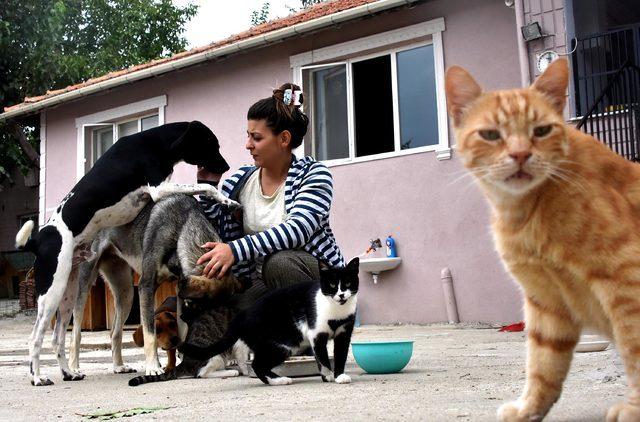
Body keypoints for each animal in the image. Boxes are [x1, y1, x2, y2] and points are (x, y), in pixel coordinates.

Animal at [65, 195, 242, 376]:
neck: (182, 226)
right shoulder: (146, 286)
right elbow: (150, 333)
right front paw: (153, 367)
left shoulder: (179, 292)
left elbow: (182, 329)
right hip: (84, 286)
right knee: (75, 333)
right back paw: (73, 368)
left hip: (126, 292)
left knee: (115, 332)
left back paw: (118, 366)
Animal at [179, 258, 360, 386]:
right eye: (332, 284)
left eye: (348, 283)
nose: (341, 295)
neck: (336, 311)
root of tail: (242, 316)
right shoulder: (316, 334)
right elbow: (322, 357)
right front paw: (328, 376)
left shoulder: (344, 333)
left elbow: (341, 355)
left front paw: (339, 375)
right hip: (281, 345)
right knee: (257, 365)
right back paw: (279, 380)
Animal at [448, 57, 640, 420]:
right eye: (491, 134)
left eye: (541, 131)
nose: (521, 154)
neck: (527, 212)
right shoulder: (545, 301)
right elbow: (542, 364)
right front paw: (529, 410)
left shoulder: (626, 282)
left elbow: (634, 348)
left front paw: (635, 410)